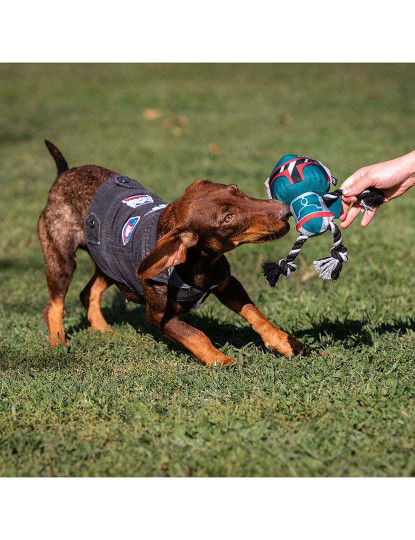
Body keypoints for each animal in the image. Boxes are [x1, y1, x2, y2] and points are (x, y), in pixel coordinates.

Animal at [39, 141, 306, 364]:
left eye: (237, 189)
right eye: (228, 218)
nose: (285, 210)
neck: (198, 265)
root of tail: (63, 173)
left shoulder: (227, 284)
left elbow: (256, 314)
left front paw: (285, 342)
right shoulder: (159, 315)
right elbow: (196, 335)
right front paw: (219, 360)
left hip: (109, 263)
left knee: (88, 292)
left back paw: (103, 329)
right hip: (61, 258)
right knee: (54, 305)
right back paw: (58, 343)